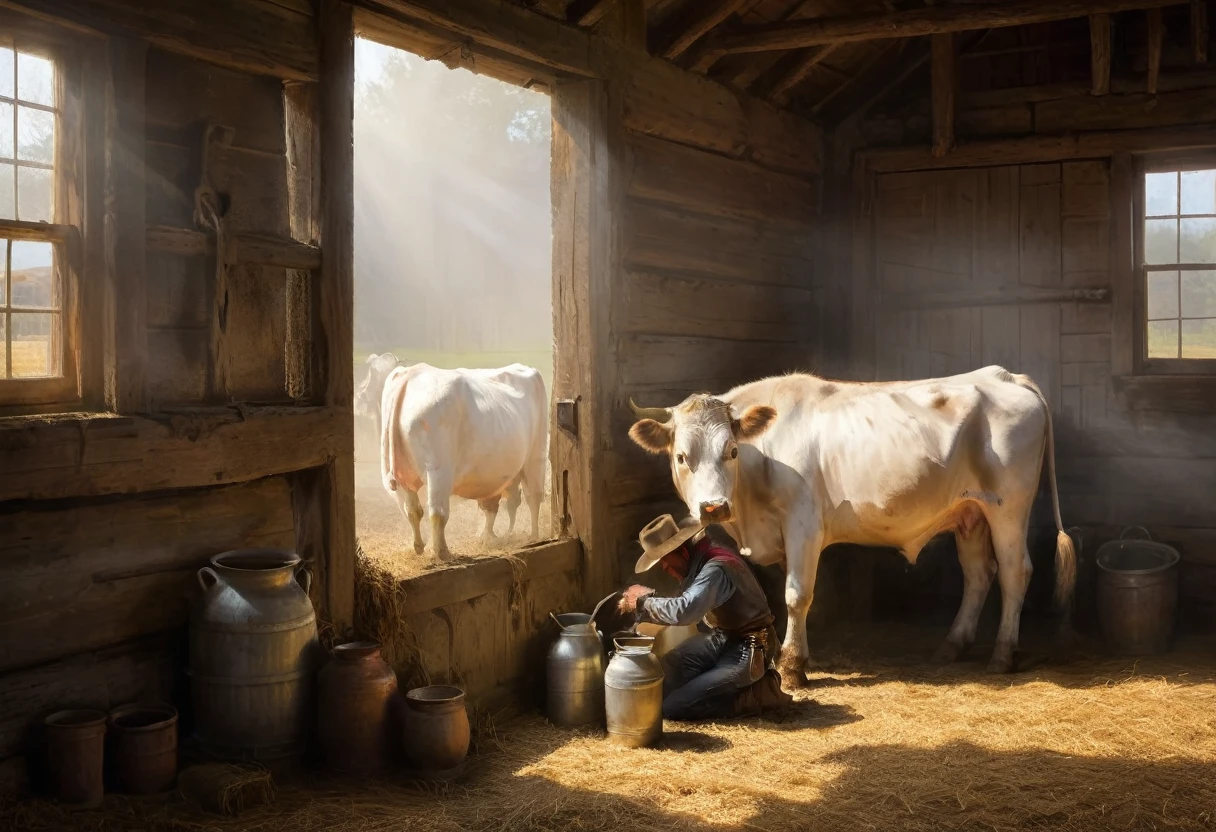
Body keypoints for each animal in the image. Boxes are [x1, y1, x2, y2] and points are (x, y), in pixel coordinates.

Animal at [627, 367, 1074, 686]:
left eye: (732, 450)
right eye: (682, 456)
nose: (714, 507)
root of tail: (1005, 375)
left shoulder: (804, 523)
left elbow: (796, 595)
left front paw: (793, 667)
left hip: (1008, 509)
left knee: (1015, 572)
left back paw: (1002, 654)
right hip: (971, 512)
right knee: (979, 574)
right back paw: (953, 645)